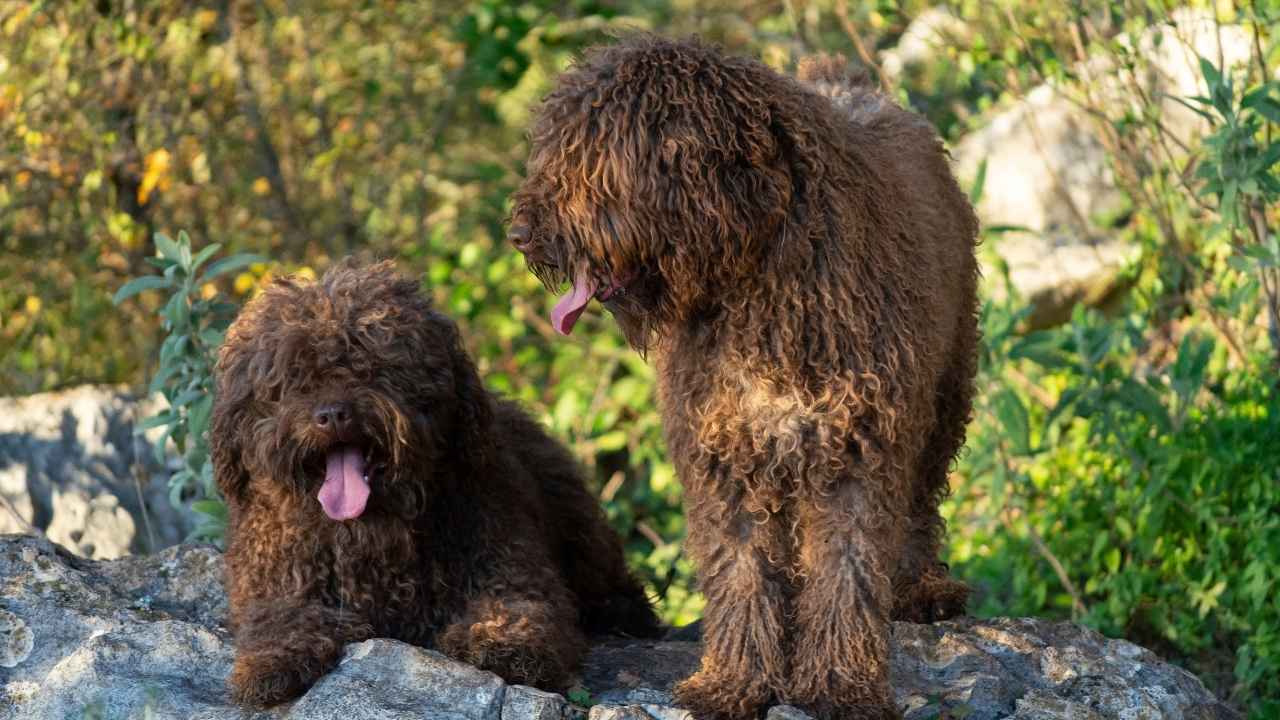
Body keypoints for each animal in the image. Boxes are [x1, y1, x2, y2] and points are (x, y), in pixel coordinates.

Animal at [209, 260, 660, 702]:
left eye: (373, 366)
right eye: (294, 379)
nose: (334, 414)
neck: (371, 541)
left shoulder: (508, 563)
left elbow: (519, 607)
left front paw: (506, 643)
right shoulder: (277, 580)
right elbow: (281, 616)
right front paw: (273, 660)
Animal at [509, 37, 977, 717]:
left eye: (594, 161)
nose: (520, 234)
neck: (759, 292)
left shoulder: (858, 451)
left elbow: (847, 571)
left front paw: (840, 686)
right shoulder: (724, 457)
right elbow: (742, 574)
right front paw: (732, 683)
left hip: (945, 391)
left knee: (920, 502)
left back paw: (922, 588)